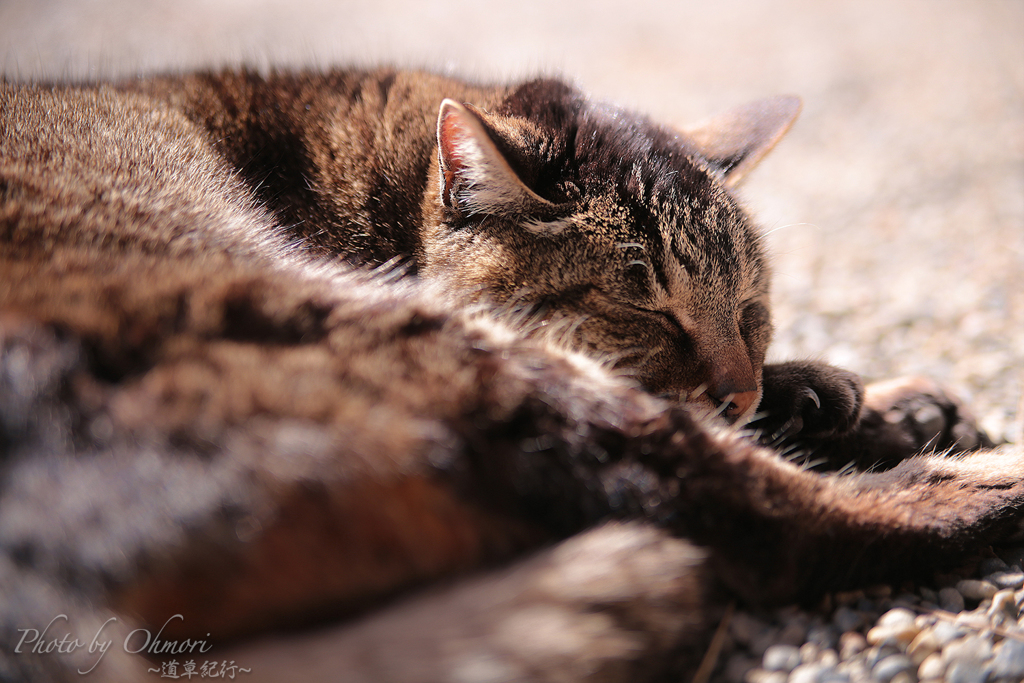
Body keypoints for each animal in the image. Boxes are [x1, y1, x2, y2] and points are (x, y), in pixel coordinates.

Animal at [0, 65, 1015, 683]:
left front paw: (853, 396)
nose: (737, 385)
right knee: (759, 517)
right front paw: (853, 407)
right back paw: (979, 478)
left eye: (749, 308)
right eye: (649, 310)